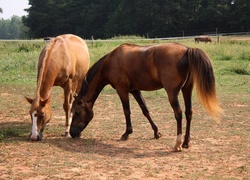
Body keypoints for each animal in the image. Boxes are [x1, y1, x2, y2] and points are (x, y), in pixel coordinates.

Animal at [69, 43, 222, 151]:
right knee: (188, 112)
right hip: (186, 90)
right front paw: (156, 133)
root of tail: (187, 50)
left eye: (76, 112)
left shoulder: (122, 90)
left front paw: (126, 133)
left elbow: (126, 111)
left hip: (172, 93)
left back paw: (177, 144)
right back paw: (185, 142)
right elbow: (145, 110)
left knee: (178, 113)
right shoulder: (135, 90)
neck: (110, 62)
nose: (72, 133)